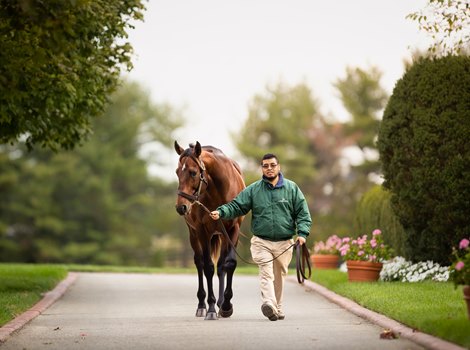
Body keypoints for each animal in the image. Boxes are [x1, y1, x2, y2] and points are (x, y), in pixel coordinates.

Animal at [173, 140, 246, 320]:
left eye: (193, 173)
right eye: (177, 172)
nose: (181, 207)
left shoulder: (233, 229)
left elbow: (229, 264)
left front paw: (226, 306)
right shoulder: (202, 231)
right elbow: (207, 267)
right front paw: (211, 308)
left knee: (221, 266)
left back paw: (220, 303)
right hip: (194, 235)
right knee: (199, 263)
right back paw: (202, 306)